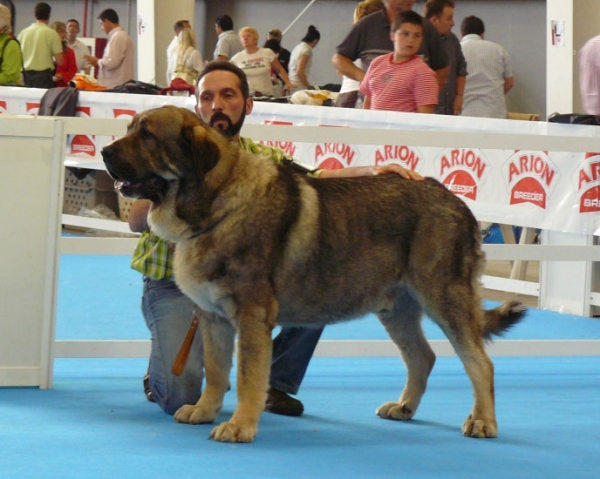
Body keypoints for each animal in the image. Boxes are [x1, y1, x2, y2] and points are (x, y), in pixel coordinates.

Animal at [102, 107, 524, 444]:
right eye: (131, 128)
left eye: (147, 135)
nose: (105, 152)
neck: (214, 204)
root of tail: (459, 203)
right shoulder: (213, 319)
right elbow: (217, 371)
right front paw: (205, 410)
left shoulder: (251, 317)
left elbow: (248, 378)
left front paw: (239, 426)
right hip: (397, 309)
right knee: (422, 357)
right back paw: (404, 408)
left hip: (444, 297)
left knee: (479, 363)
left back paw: (483, 422)